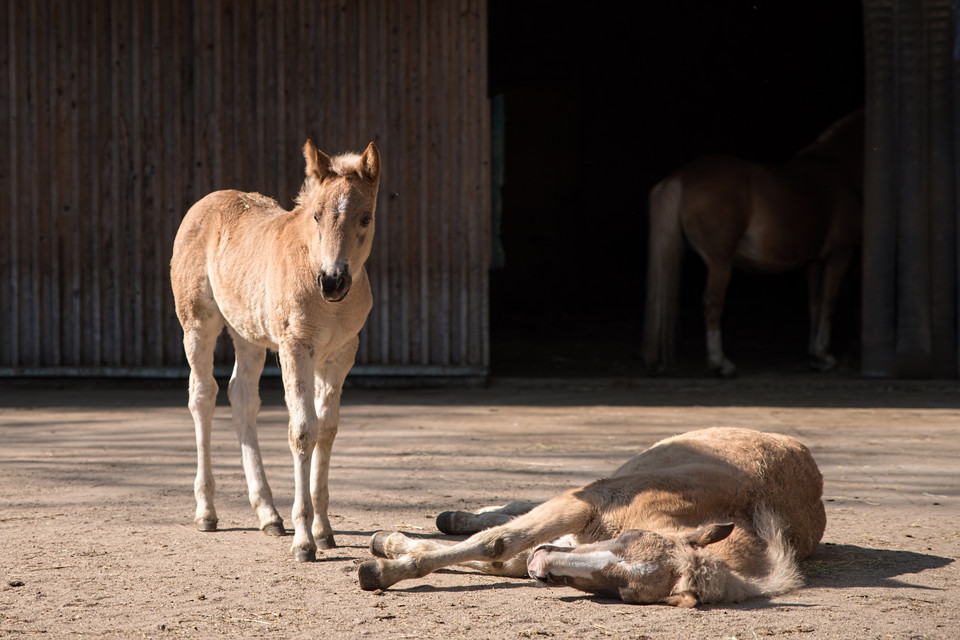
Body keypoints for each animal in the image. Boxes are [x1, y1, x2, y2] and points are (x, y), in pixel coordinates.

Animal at [171, 139, 380, 560]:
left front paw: (323, 529)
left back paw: (268, 514)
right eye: (316, 216)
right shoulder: (295, 347)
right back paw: (206, 511)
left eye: (365, 218)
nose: (332, 281)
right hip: (198, 324)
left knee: (241, 397)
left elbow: (327, 430)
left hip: (247, 334)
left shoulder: (340, 355)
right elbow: (302, 430)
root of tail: (207, 202)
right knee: (202, 396)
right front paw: (304, 540)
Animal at [356, 428, 820, 608]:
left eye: (624, 591)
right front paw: (381, 568)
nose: (542, 565)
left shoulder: (566, 536)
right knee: (513, 514)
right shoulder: (584, 504)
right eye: (627, 539)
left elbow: (497, 556)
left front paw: (389, 549)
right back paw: (458, 515)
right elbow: (497, 542)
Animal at [644, 112, 864, 378]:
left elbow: (815, 303)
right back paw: (721, 363)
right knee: (713, 303)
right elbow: (828, 302)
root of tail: (682, 176)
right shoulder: (841, 255)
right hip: (720, 263)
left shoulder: (815, 261)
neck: (838, 169)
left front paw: (815, 357)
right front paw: (825, 356)